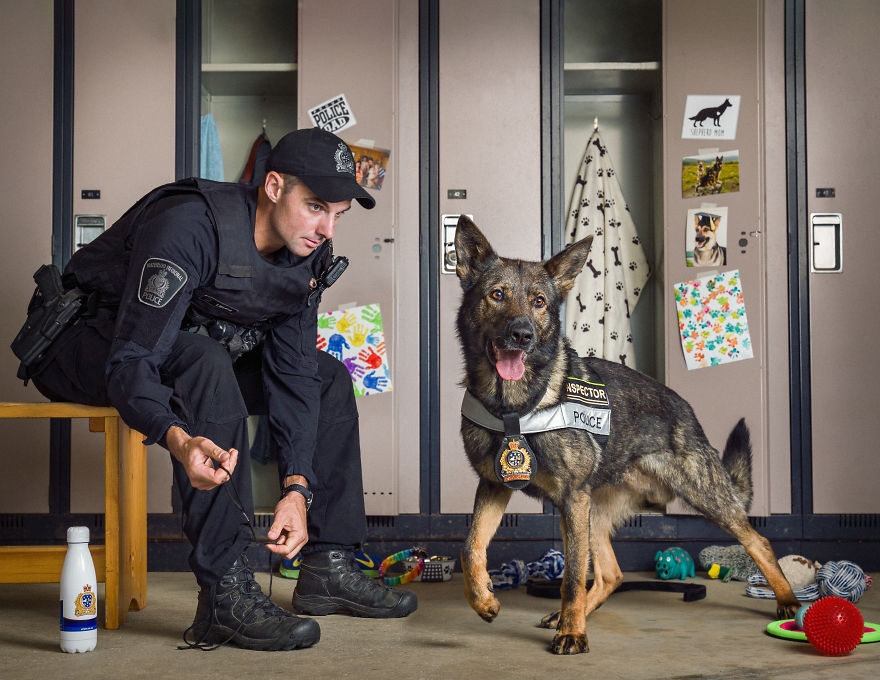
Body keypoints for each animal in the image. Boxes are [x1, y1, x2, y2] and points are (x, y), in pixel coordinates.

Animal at [450, 216, 800, 652]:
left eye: (539, 302)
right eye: (497, 295)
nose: (522, 334)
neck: (515, 405)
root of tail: (686, 409)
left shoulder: (571, 497)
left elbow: (570, 577)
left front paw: (573, 634)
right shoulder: (495, 485)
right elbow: (471, 546)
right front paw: (483, 599)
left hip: (699, 495)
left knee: (757, 540)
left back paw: (788, 601)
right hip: (594, 512)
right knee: (612, 574)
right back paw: (567, 615)